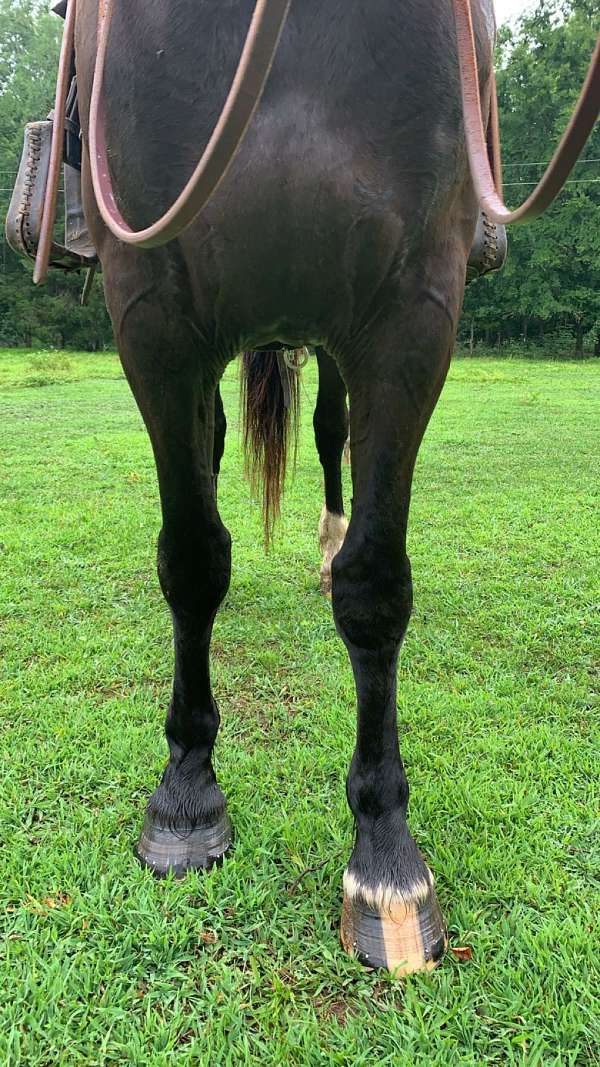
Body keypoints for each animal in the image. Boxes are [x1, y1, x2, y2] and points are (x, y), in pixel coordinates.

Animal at [73, 0, 495, 973]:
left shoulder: (415, 309)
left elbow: (377, 586)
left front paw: (386, 857)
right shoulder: (150, 308)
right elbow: (193, 557)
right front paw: (186, 795)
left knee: (333, 434)